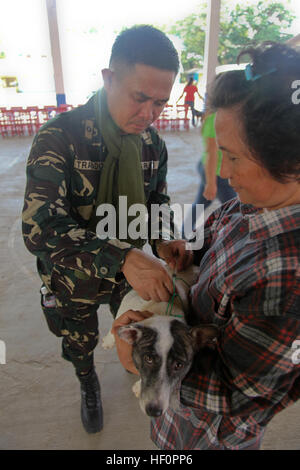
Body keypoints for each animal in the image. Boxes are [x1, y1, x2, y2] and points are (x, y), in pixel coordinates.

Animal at [101, 260, 218, 418]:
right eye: (148, 359)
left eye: (179, 365)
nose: (154, 411)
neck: (163, 311)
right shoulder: (128, 307)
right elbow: (116, 325)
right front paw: (109, 340)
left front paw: (138, 385)